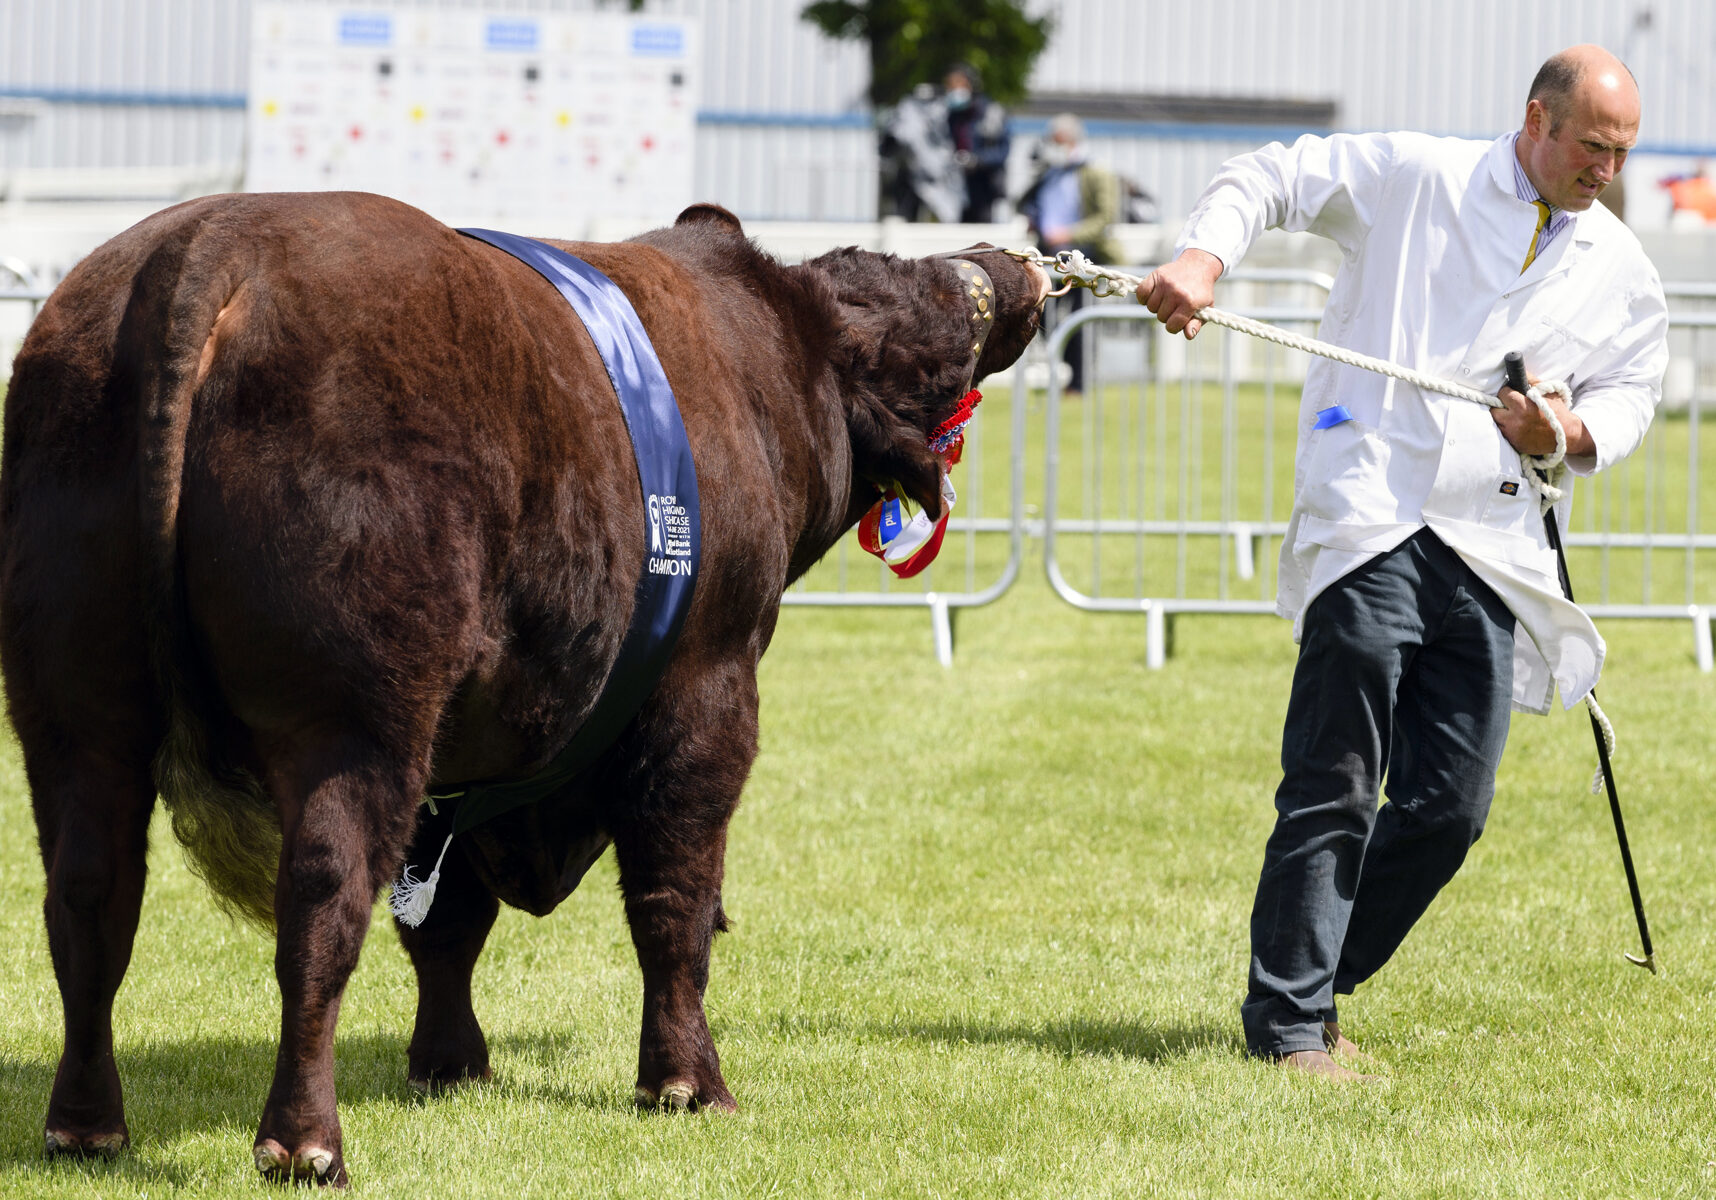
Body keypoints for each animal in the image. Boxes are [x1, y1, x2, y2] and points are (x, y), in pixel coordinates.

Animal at [0, 192, 1043, 1187]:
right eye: (925, 327)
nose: (1012, 264)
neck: (769, 365)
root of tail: (214, 241)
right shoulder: (707, 688)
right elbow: (675, 898)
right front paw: (684, 1083)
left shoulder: (462, 760)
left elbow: (446, 920)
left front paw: (449, 1064)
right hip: (353, 718)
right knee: (321, 902)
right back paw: (305, 1143)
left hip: (74, 710)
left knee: (90, 898)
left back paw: (87, 1126)